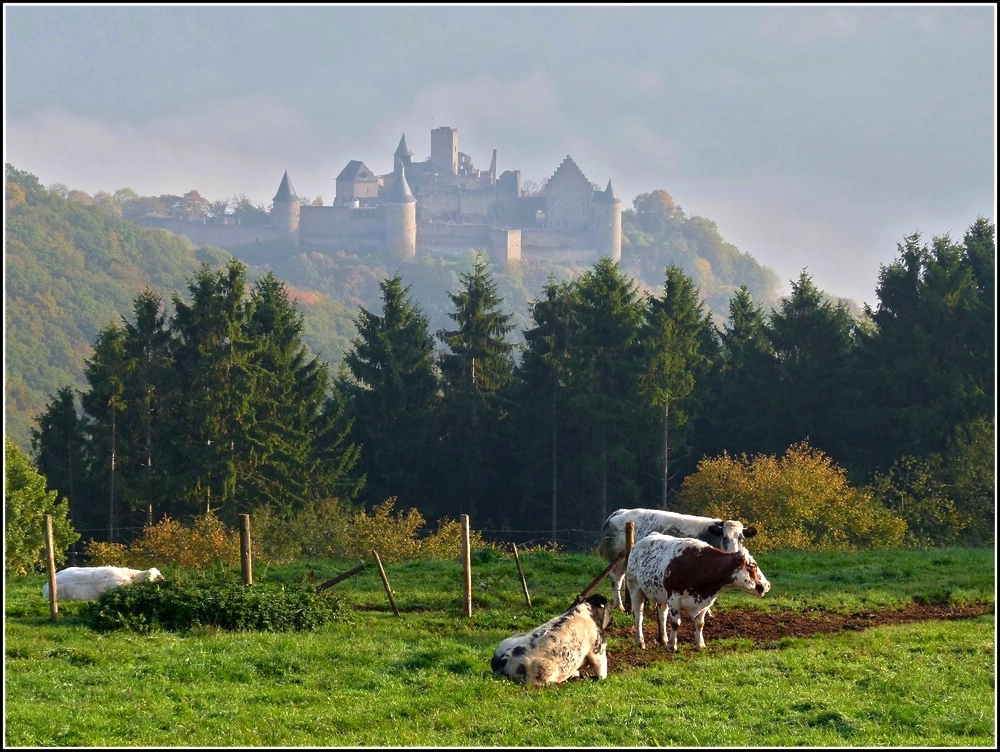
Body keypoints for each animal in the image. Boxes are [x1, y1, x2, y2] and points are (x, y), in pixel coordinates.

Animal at [596, 508, 752, 612]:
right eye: (724, 537)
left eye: (741, 538)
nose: (733, 551)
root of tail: (619, 512)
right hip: (619, 560)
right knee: (616, 579)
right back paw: (619, 606)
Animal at [624, 536, 772, 652]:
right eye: (753, 566)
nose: (767, 585)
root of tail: (639, 543)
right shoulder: (674, 599)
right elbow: (676, 623)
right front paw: (673, 646)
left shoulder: (705, 602)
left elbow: (700, 623)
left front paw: (700, 645)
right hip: (635, 587)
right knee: (639, 615)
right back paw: (640, 642)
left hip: (660, 594)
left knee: (662, 614)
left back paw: (663, 639)